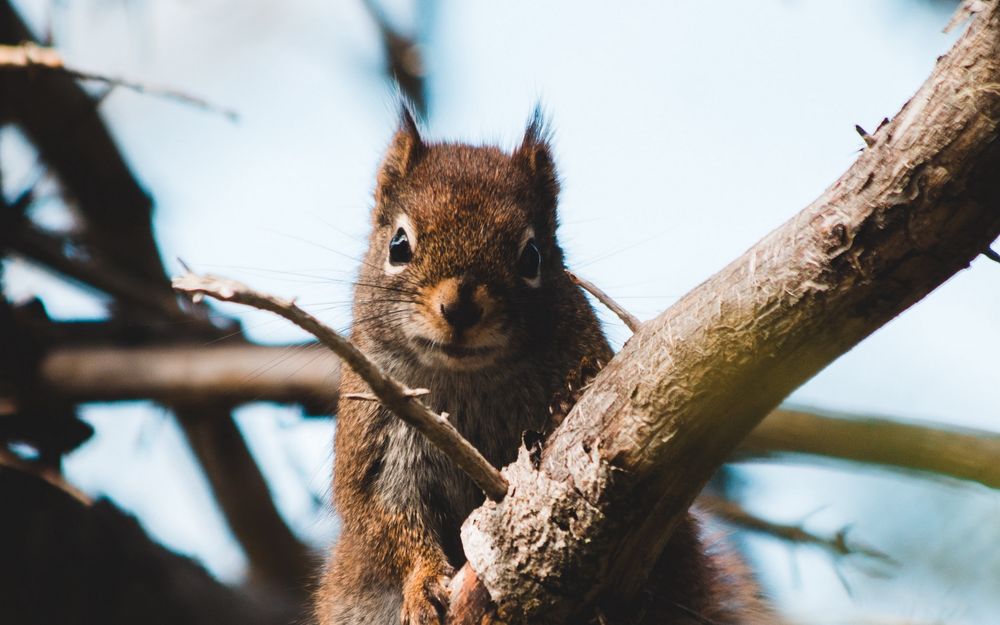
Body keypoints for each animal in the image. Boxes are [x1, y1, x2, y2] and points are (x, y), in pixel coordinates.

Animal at [315, 107, 772, 625]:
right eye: (398, 245)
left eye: (532, 256)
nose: (460, 309)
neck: (470, 378)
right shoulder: (376, 436)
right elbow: (384, 517)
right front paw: (423, 583)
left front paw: (569, 397)